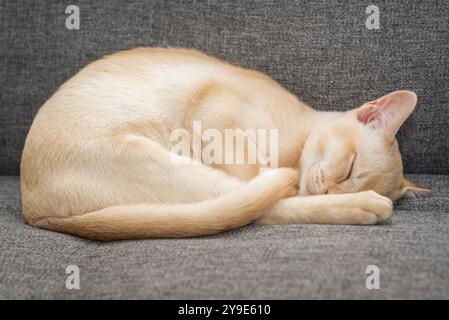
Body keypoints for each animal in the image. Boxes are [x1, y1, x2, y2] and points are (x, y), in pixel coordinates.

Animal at [19, 47, 428, 240]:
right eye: (349, 167)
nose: (330, 191)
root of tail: (34, 211)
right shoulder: (216, 111)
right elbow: (259, 181)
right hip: (172, 164)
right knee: (257, 203)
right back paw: (363, 206)